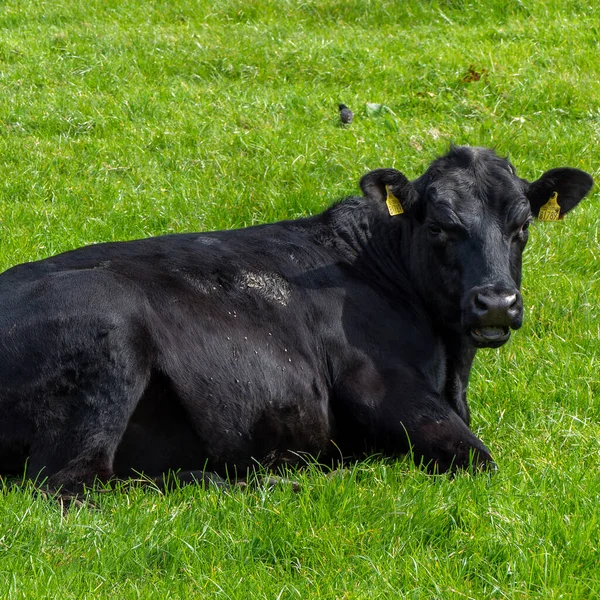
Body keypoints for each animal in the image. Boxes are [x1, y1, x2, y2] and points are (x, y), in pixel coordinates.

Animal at [0, 146, 592, 492]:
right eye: (439, 226)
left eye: (522, 226)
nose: (496, 303)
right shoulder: (383, 388)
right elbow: (478, 459)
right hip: (109, 345)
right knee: (72, 485)